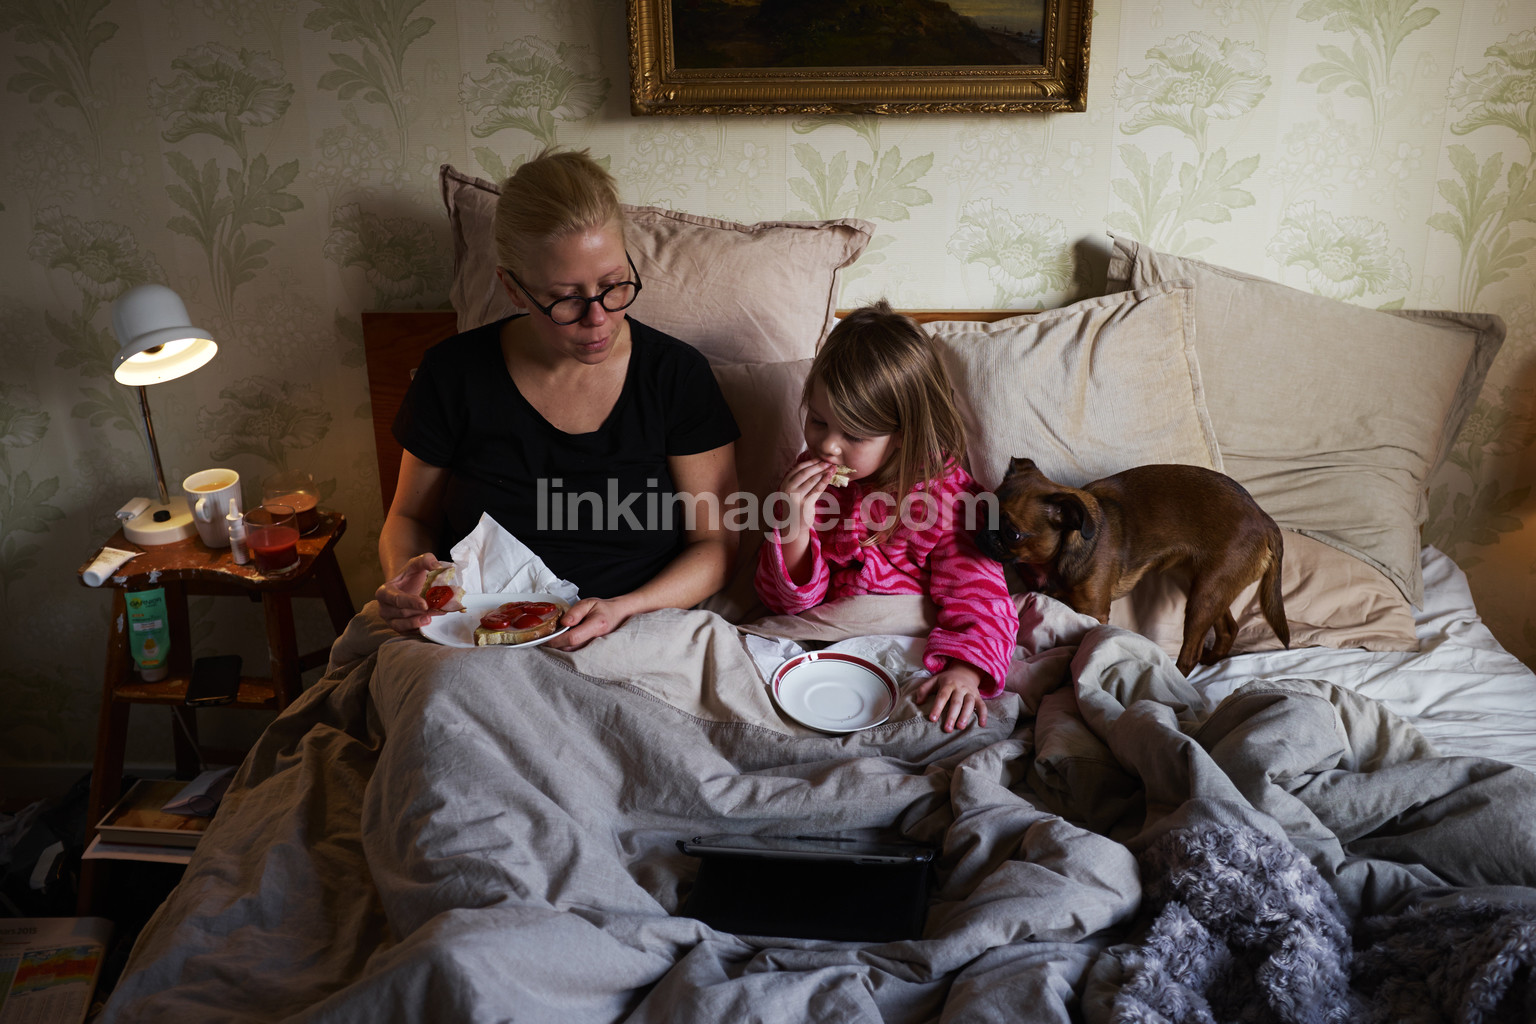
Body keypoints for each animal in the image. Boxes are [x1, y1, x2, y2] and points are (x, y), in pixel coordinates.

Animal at [976, 457, 1289, 675]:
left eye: (1012, 534)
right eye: (983, 509)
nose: (983, 534)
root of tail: (1263, 518)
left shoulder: (1093, 613)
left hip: (1206, 595)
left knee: (1191, 653)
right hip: (1209, 586)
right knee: (1228, 630)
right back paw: (1212, 659)